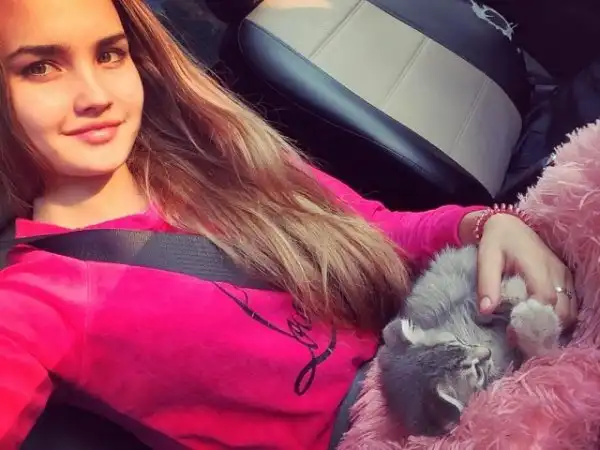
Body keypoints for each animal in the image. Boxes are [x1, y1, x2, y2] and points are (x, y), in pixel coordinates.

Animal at [378, 245, 562, 437]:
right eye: (477, 372)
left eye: (459, 341)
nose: (486, 352)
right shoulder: (511, 367)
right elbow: (539, 354)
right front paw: (534, 320)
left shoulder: (467, 305)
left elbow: (484, 305)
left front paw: (510, 291)